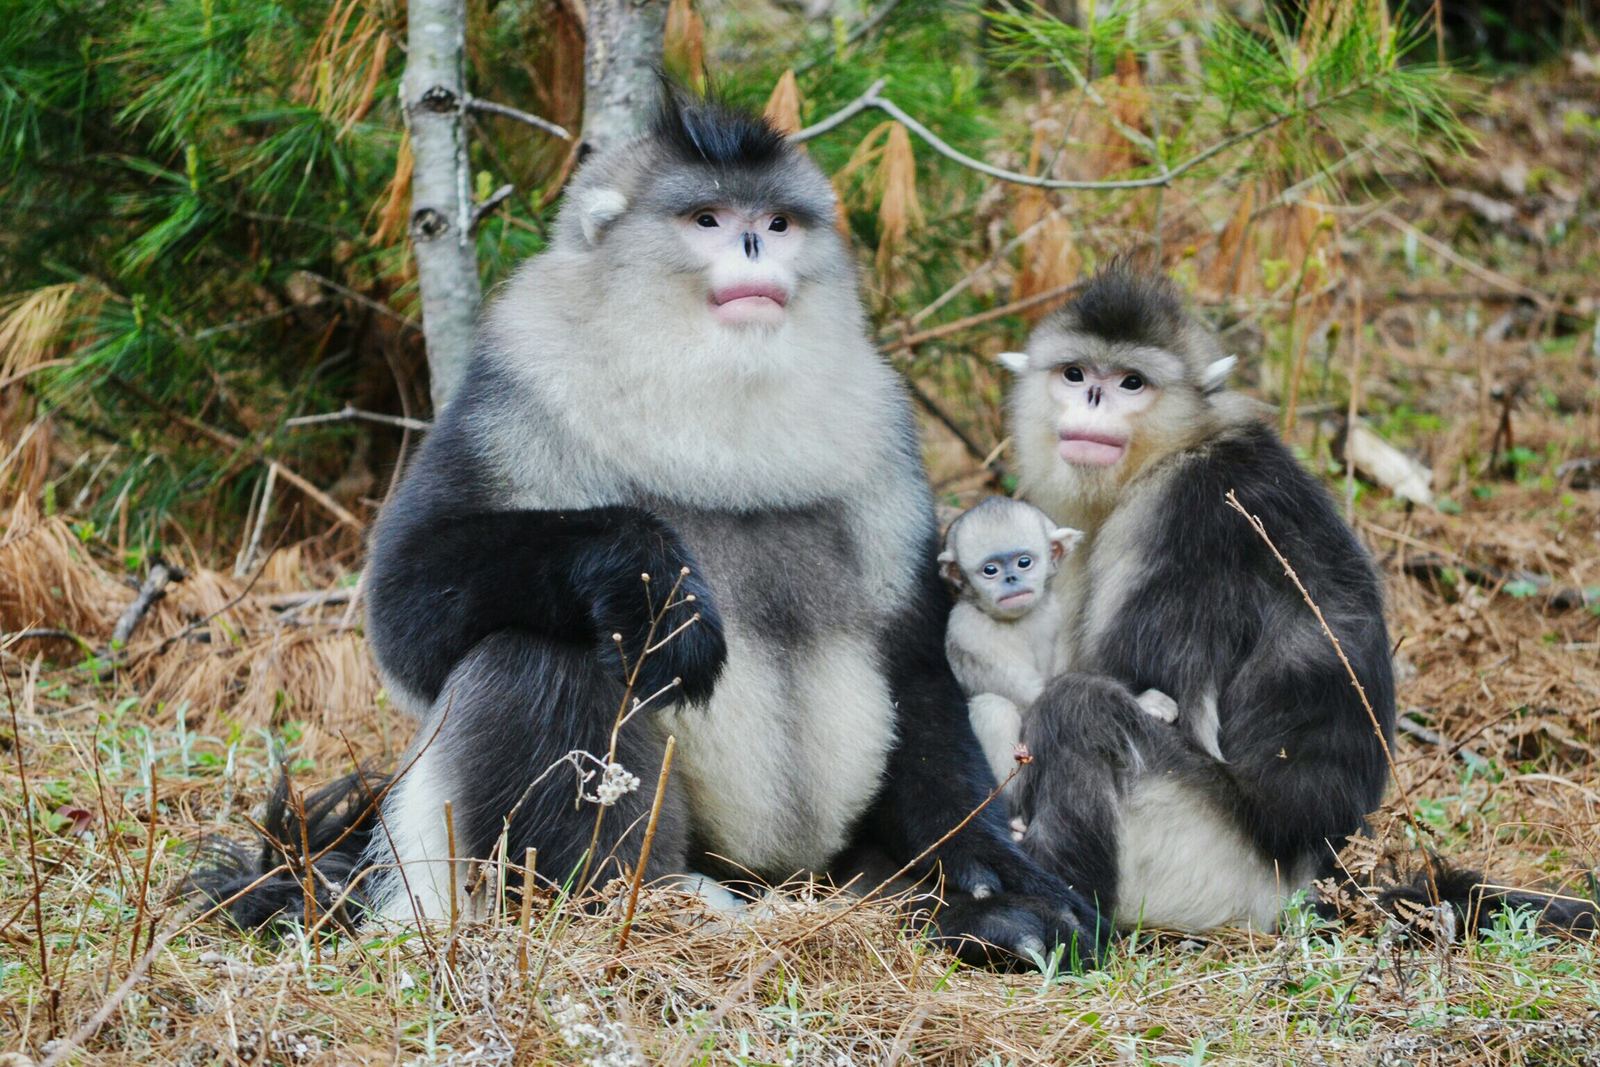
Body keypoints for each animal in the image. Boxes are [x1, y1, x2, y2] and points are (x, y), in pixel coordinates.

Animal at [194, 88, 1100, 968]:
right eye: (707, 219)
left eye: (777, 222)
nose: (754, 249)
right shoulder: (509, 391)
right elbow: (404, 604)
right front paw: (649, 571)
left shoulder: (886, 441)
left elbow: (914, 663)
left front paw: (1002, 880)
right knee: (536, 647)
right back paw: (637, 905)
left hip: (836, 873)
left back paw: (975, 920)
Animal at [1003, 259, 1597, 937]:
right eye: (1075, 374)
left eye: (1131, 382)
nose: (1094, 399)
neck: (1179, 448)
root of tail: (1326, 880)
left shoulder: (1181, 517)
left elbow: (1144, 695)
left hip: (1209, 862)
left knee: (1080, 708)